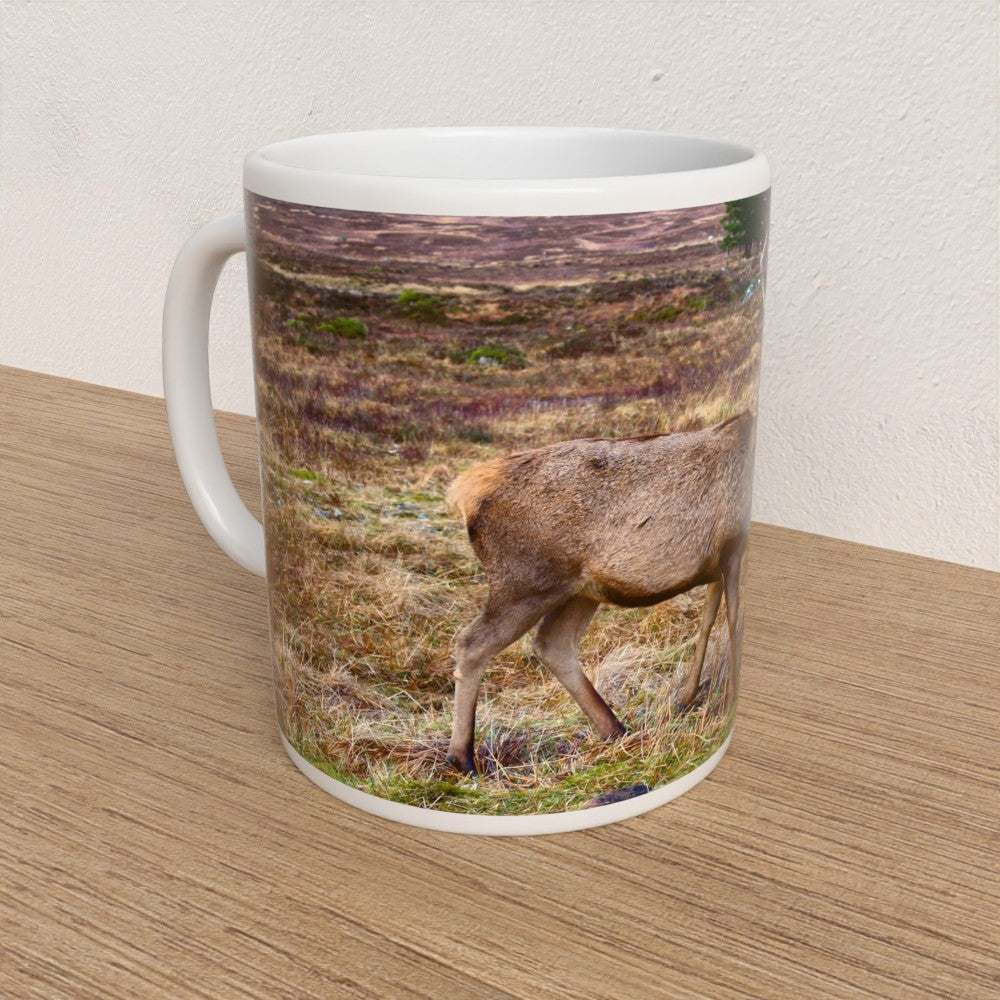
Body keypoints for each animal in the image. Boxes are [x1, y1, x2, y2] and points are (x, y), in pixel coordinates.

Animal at [443, 411, 755, 775]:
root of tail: (464, 491)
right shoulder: (733, 550)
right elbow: (732, 627)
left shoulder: (718, 566)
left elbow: (708, 622)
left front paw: (687, 699)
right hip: (525, 583)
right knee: (472, 643)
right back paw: (461, 757)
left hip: (579, 591)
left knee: (552, 643)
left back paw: (615, 730)